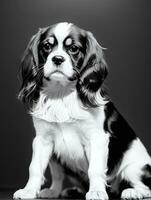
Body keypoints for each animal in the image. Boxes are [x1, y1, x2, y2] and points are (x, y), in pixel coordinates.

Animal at [13, 21, 151, 198]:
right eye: (47, 46)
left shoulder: (96, 138)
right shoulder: (43, 139)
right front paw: (29, 190)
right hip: (56, 159)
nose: (57, 58)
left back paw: (132, 192)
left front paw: (97, 191)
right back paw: (57, 191)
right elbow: (35, 168)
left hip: (133, 168)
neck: (62, 94)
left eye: (73, 49)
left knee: (143, 186)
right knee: (58, 176)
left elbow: (95, 169)